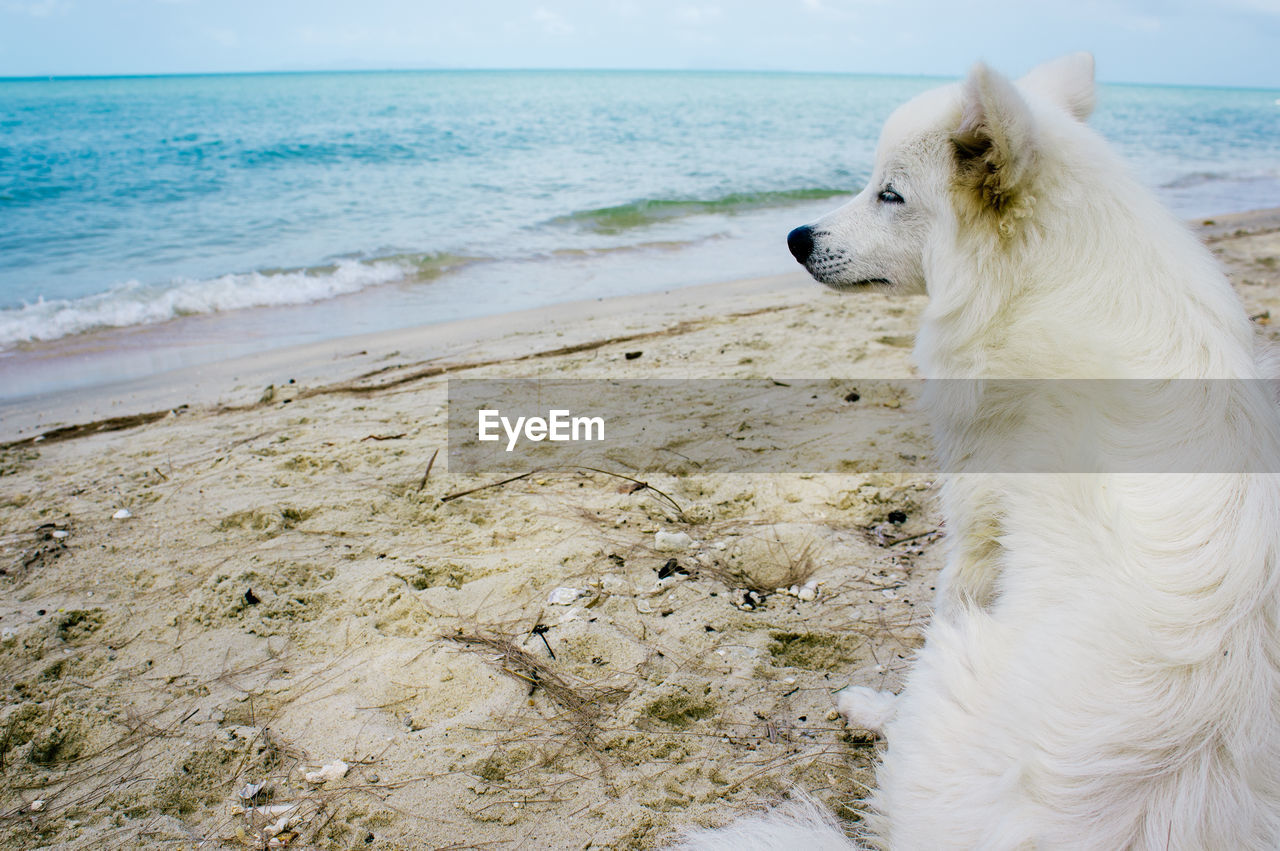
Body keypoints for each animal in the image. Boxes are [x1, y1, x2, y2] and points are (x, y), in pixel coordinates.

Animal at [686, 54, 1280, 849]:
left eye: (891, 193)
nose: (795, 236)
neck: (1044, 281)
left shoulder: (977, 511)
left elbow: (949, 592)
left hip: (958, 662)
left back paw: (872, 711)